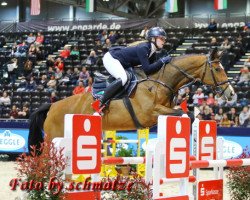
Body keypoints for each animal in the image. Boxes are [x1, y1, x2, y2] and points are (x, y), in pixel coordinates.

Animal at [28, 49, 235, 148]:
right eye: (217, 69)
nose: (231, 94)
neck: (160, 82)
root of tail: (52, 107)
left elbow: (185, 113)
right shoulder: (150, 113)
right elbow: (186, 114)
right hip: (54, 137)